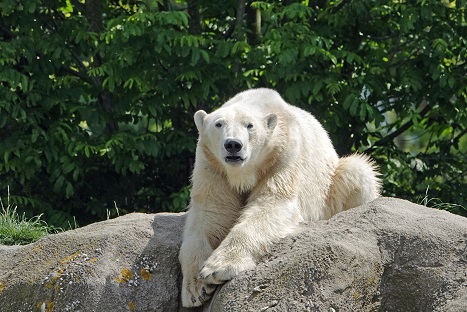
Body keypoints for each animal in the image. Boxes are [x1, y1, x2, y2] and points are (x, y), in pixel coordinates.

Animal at [178, 88, 380, 308]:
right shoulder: (211, 164)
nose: (233, 145)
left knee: (357, 171)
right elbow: (211, 211)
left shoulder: (283, 154)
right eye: (219, 124)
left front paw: (219, 267)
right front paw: (195, 288)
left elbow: (273, 202)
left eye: (249, 125)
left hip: (331, 184)